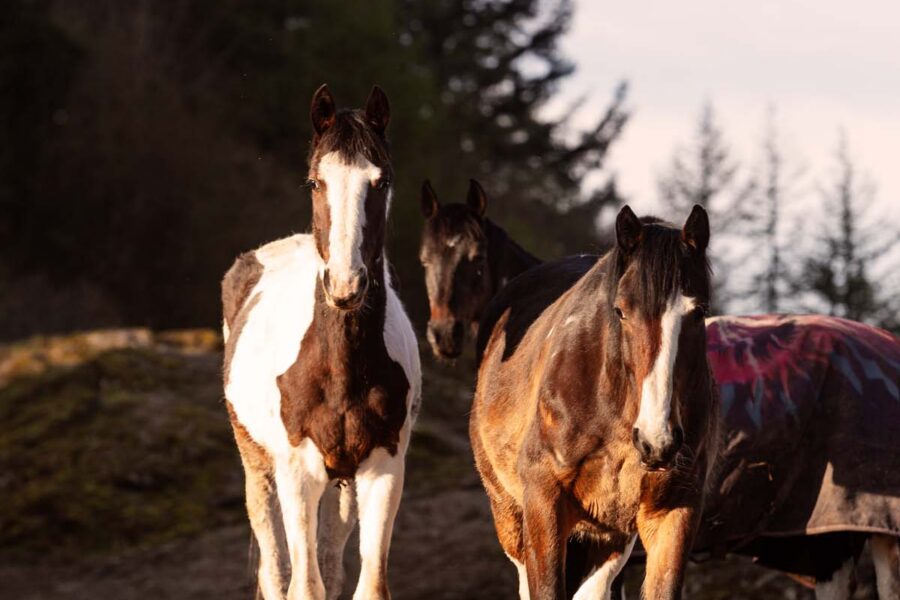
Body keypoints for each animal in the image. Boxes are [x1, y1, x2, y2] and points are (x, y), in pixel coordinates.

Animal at [221, 85, 421, 600]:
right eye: (315, 182)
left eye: (381, 181)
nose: (346, 285)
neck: (339, 369)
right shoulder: (297, 473)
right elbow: (302, 586)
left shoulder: (383, 470)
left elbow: (367, 584)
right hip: (259, 469)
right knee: (275, 571)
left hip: (341, 484)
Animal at [470, 205, 719, 600]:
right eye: (620, 311)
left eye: (698, 312)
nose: (657, 441)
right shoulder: (543, 502)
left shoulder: (673, 513)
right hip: (510, 515)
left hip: (607, 537)